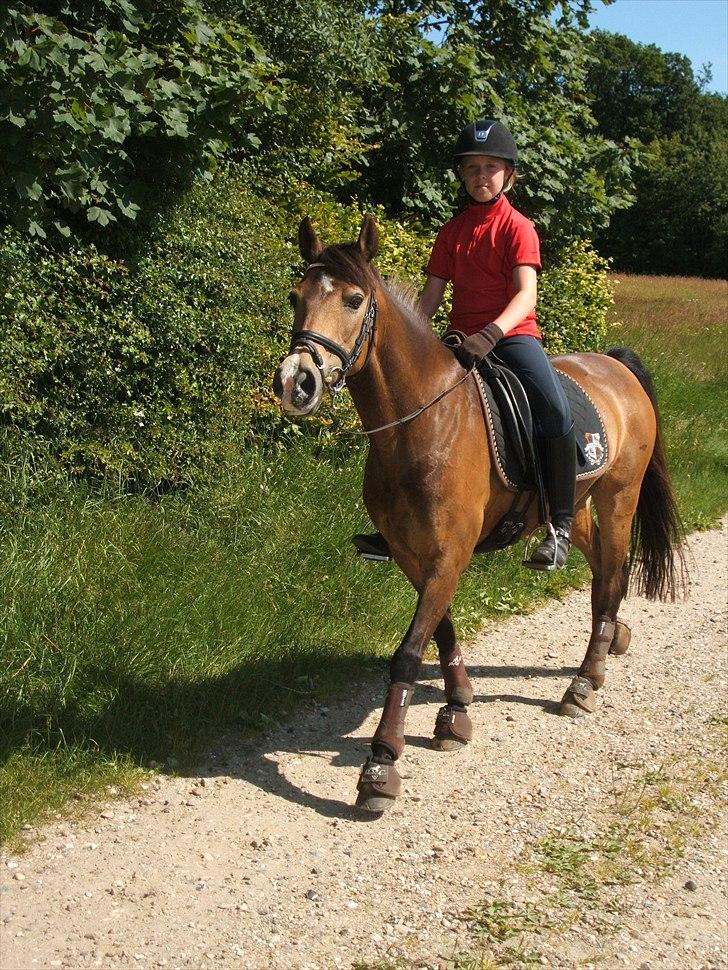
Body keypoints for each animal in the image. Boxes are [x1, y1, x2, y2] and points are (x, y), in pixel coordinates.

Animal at [272, 216, 688, 812]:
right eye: (295, 297)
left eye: (354, 300)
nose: (295, 382)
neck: (421, 422)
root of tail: (614, 365)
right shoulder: (413, 552)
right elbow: (441, 631)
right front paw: (457, 709)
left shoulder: (449, 552)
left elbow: (408, 652)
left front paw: (381, 765)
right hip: (579, 504)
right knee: (602, 571)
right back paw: (611, 642)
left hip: (619, 497)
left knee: (611, 573)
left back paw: (584, 681)